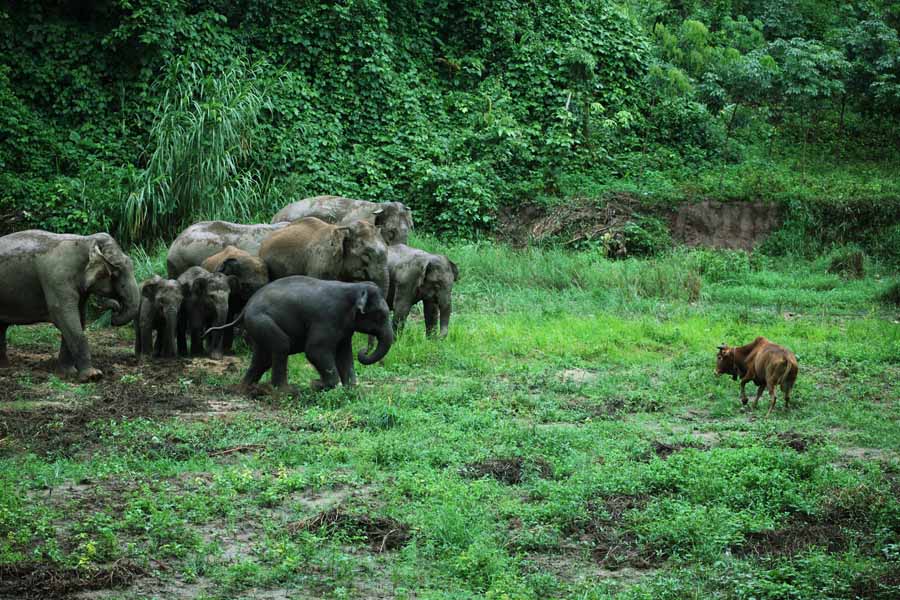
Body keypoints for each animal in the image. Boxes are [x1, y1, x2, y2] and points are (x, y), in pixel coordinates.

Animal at [0, 230, 140, 380]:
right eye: (115, 273)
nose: (114, 310)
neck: (87, 241)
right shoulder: (58, 278)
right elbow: (65, 317)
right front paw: (93, 375)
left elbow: (79, 318)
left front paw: (67, 373)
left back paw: (5, 366)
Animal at [209, 274, 396, 392]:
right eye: (380, 315)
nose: (363, 351)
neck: (353, 288)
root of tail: (246, 307)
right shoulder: (327, 318)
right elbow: (315, 351)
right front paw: (319, 385)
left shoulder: (344, 328)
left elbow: (344, 355)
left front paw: (351, 390)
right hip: (262, 320)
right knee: (281, 346)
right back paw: (285, 391)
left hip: (257, 326)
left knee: (263, 358)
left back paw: (244, 390)